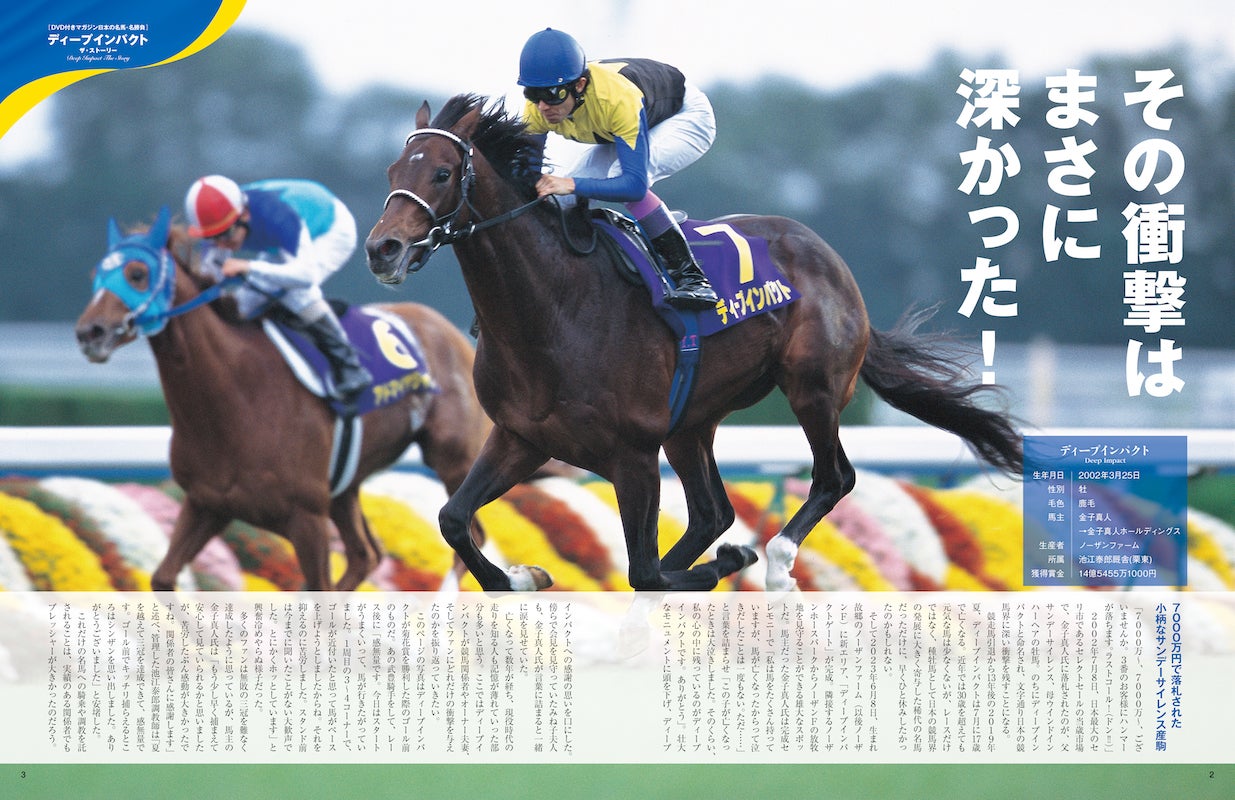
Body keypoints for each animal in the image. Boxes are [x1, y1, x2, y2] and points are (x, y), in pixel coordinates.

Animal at [75, 206, 492, 591]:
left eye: (137, 274)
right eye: (95, 275)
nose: (89, 332)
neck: (234, 400)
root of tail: (447, 328)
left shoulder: (306, 518)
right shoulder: (206, 503)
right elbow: (162, 579)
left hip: (452, 457)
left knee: (471, 534)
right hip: (345, 487)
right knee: (366, 554)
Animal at [364, 94, 1023, 593]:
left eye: (442, 173)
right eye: (392, 174)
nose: (382, 249)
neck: (552, 309)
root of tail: (831, 259)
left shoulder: (632, 454)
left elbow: (644, 572)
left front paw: (733, 560)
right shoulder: (520, 437)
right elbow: (453, 519)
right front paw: (521, 576)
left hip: (811, 387)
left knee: (833, 478)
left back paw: (774, 560)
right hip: (691, 424)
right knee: (713, 513)